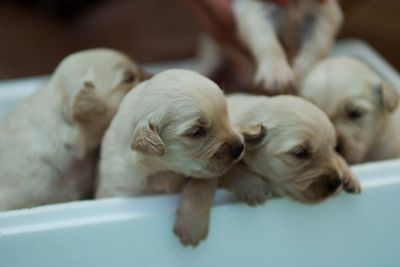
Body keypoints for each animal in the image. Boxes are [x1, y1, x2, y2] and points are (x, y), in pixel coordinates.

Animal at [96, 69, 244, 247]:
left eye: (226, 114)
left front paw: (191, 227)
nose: (240, 148)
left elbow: (201, 184)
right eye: (196, 132)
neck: (162, 171)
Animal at [220, 94, 360, 207]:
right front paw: (253, 187)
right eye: (300, 153)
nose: (337, 182)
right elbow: (236, 169)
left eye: (331, 148)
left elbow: (337, 156)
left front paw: (348, 174)